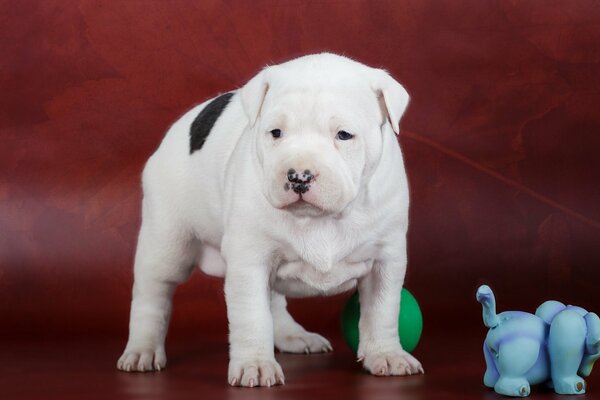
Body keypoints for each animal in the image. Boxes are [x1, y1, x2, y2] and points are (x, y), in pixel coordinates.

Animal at [117, 51, 424, 386]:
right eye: (276, 133)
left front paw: (387, 354)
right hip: (167, 241)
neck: (320, 218)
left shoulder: (386, 259)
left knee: (274, 299)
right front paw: (255, 363)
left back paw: (293, 335)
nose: (299, 176)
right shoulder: (249, 261)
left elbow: (382, 310)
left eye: (344, 135)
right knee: (152, 294)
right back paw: (142, 349)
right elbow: (252, 316)